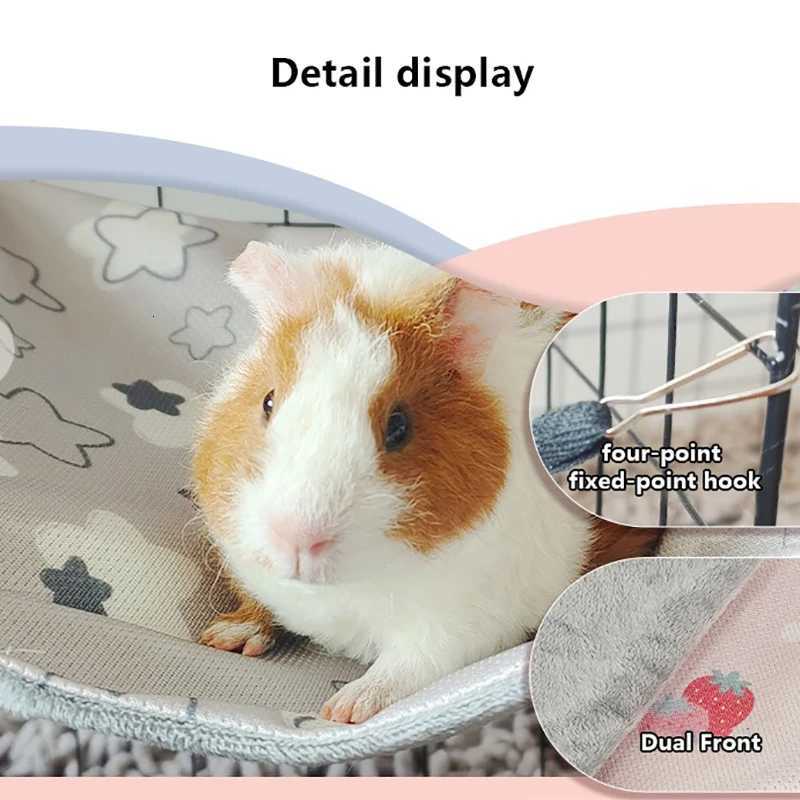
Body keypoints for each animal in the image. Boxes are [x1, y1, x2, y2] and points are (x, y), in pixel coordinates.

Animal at [192, 241, 659, 723]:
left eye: (399, 426)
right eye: (268, 401)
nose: (296, 539)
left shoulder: (457, 625)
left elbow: (406, 667)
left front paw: (343, 710)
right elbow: (258, 605)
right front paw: (224, 637)